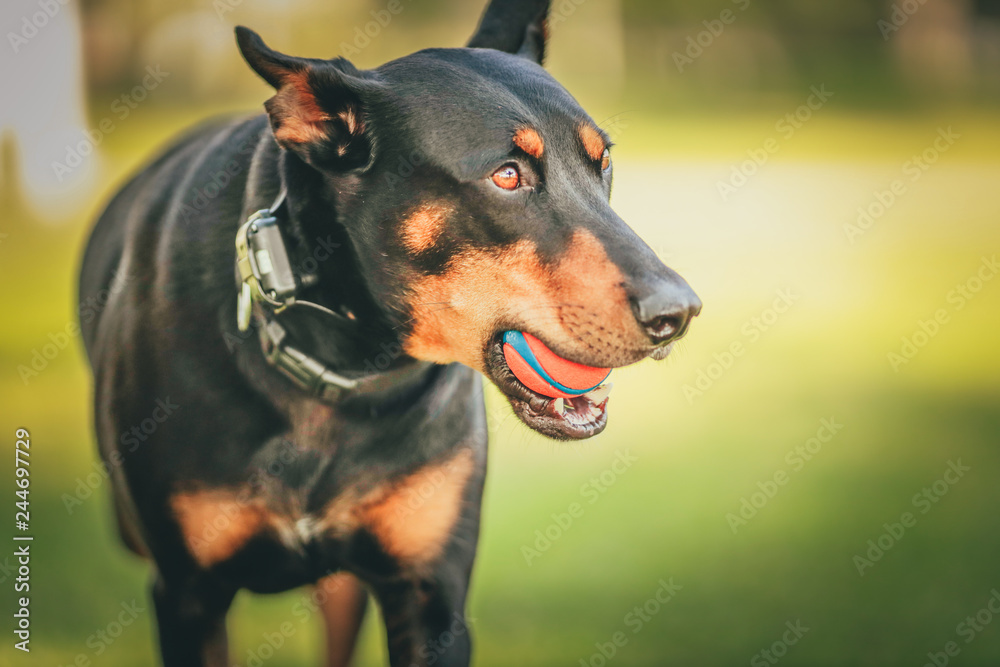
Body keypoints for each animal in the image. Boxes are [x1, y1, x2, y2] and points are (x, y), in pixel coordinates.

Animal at [78, 2, 700, 664]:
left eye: (602, 162)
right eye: (507, 175)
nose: (679, 311)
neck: (347, 366)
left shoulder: (431, 596)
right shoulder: (188, 595)